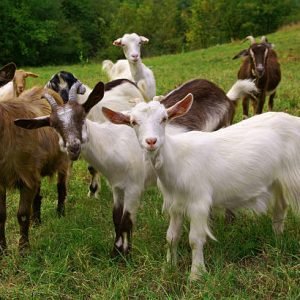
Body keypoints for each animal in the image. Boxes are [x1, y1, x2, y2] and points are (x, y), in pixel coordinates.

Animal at [0, 86, 70, 253]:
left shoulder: (26, 176)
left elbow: (22, 214)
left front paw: (24, 250)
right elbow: (1, 215)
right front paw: (3, 250)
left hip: (62, 161)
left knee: (61, 187)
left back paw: (60, 213)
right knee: (38, 195)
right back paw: (36, 221)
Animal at [101, 95, 300, 280]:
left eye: (164, 118)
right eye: (133, 122)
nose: (151, 141)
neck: (177, 160)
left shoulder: (199, 202)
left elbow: (195, 240)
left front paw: (196, 275)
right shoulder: (175, 204)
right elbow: (171, 237)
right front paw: (169, 267)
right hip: (277, 180)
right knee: (280, 207)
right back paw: (277, 239)